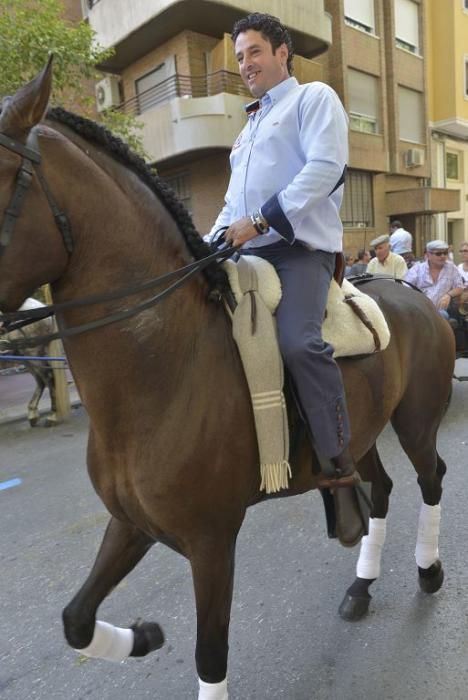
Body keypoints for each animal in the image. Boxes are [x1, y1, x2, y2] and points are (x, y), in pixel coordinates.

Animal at [0, 63, 456, 696]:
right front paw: (142, 636)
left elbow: (210, 654)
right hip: (362, 431)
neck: (163, 371)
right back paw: (361, 587)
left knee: (431, 478)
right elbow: (75, 619)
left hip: (413, 422)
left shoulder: (212, 540)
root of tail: (418, 296)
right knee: (383, 489)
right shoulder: (131, 522)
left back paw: (428, 570)